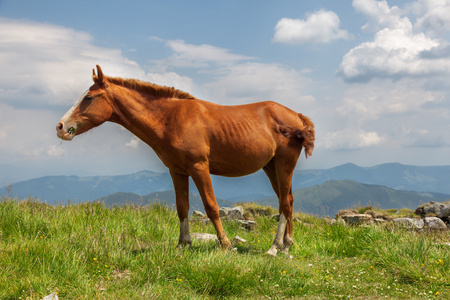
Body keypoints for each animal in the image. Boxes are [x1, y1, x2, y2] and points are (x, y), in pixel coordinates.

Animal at [56, 65, 314, 255]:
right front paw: (183, 243)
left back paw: (274, 247)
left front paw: (225, 245)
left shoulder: (199, 168)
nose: (61, 127)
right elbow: (182, 207)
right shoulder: (177, 171)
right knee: (287, 201)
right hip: (271, 167)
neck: (170, 118)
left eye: (89, 98)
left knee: (285, 203)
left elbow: (211, 207)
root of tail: (296, 116)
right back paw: (287, 245)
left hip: (284, 165)